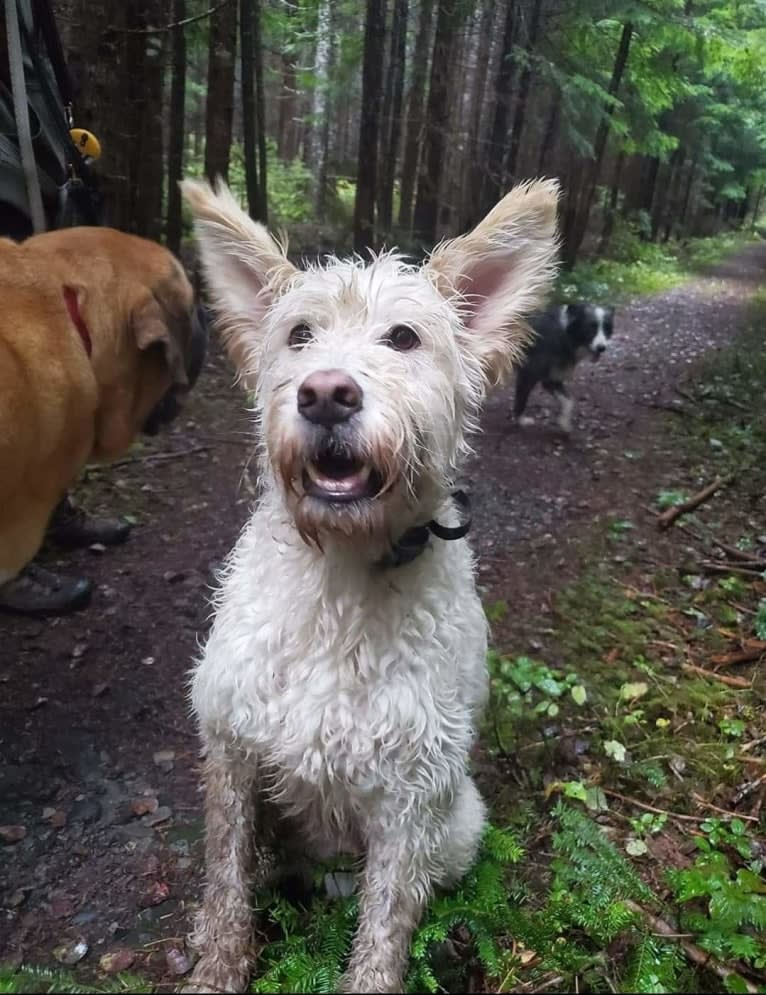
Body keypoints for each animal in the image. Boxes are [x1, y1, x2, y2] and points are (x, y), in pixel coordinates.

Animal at [182, 179, 560, 995]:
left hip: (459, 824)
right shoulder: (231, 750)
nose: (326, 393)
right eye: (298, 335)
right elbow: (226, 879)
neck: (341, 578)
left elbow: (386, 929)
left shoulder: (412, 799)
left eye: (404, 338)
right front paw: (217, 965)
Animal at [516, 300, 616, 432]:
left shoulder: (552, 379)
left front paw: (564, 423)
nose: (601, 348)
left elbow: (569, 402)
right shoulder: (528, 375)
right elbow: (521, 400)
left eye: (606, 328)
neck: (565, 334)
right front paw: (520, 420)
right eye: (591, 328)